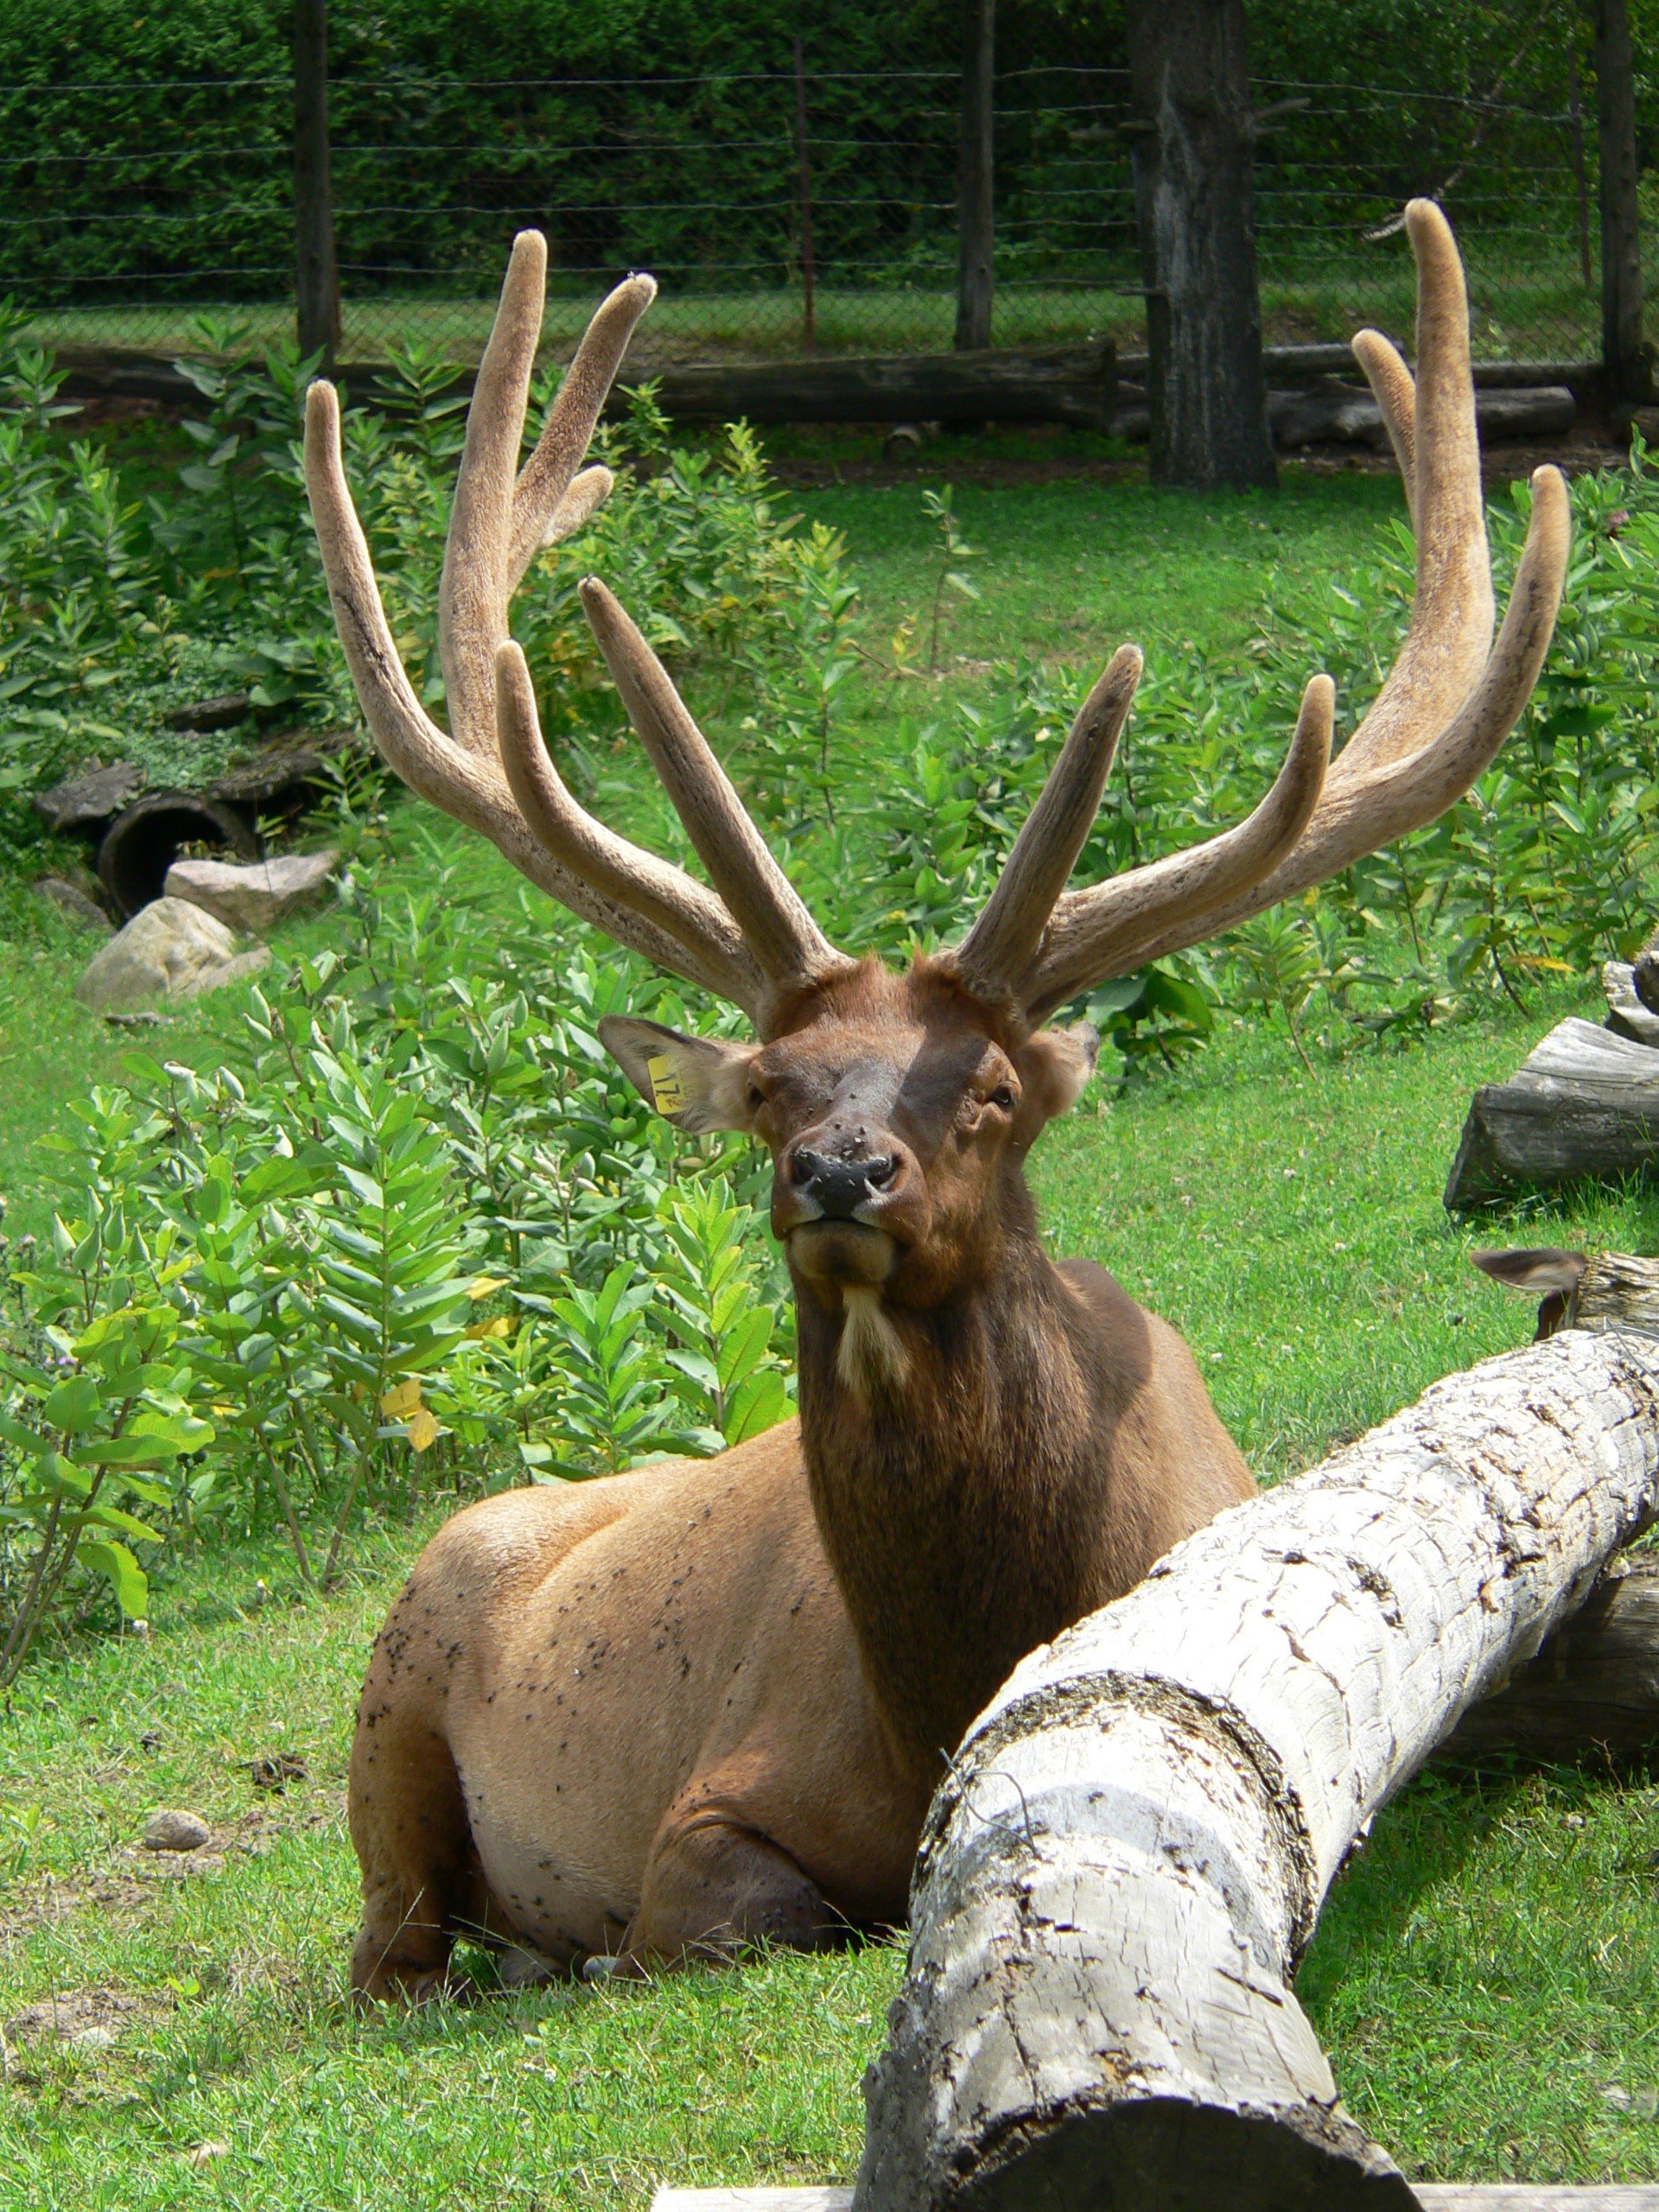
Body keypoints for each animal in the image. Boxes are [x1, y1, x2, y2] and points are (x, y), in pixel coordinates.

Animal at [309, 203, 1574, 1991]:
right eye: (769, 1089)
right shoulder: (709, 1804)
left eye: (986, 1089)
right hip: (393, 1706)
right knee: (387, 1943)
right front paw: (606, 1950)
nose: (843, 1173)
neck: (940, 1702)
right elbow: (725, 1917)